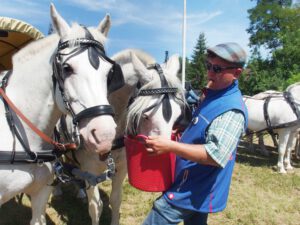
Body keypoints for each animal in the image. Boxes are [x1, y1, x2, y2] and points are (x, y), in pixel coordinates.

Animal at [56, 49, 186, 225]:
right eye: (145, 115)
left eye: (177, 115)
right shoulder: (90, 172)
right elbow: (95, 207)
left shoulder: (121, 168)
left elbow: (116, 200)